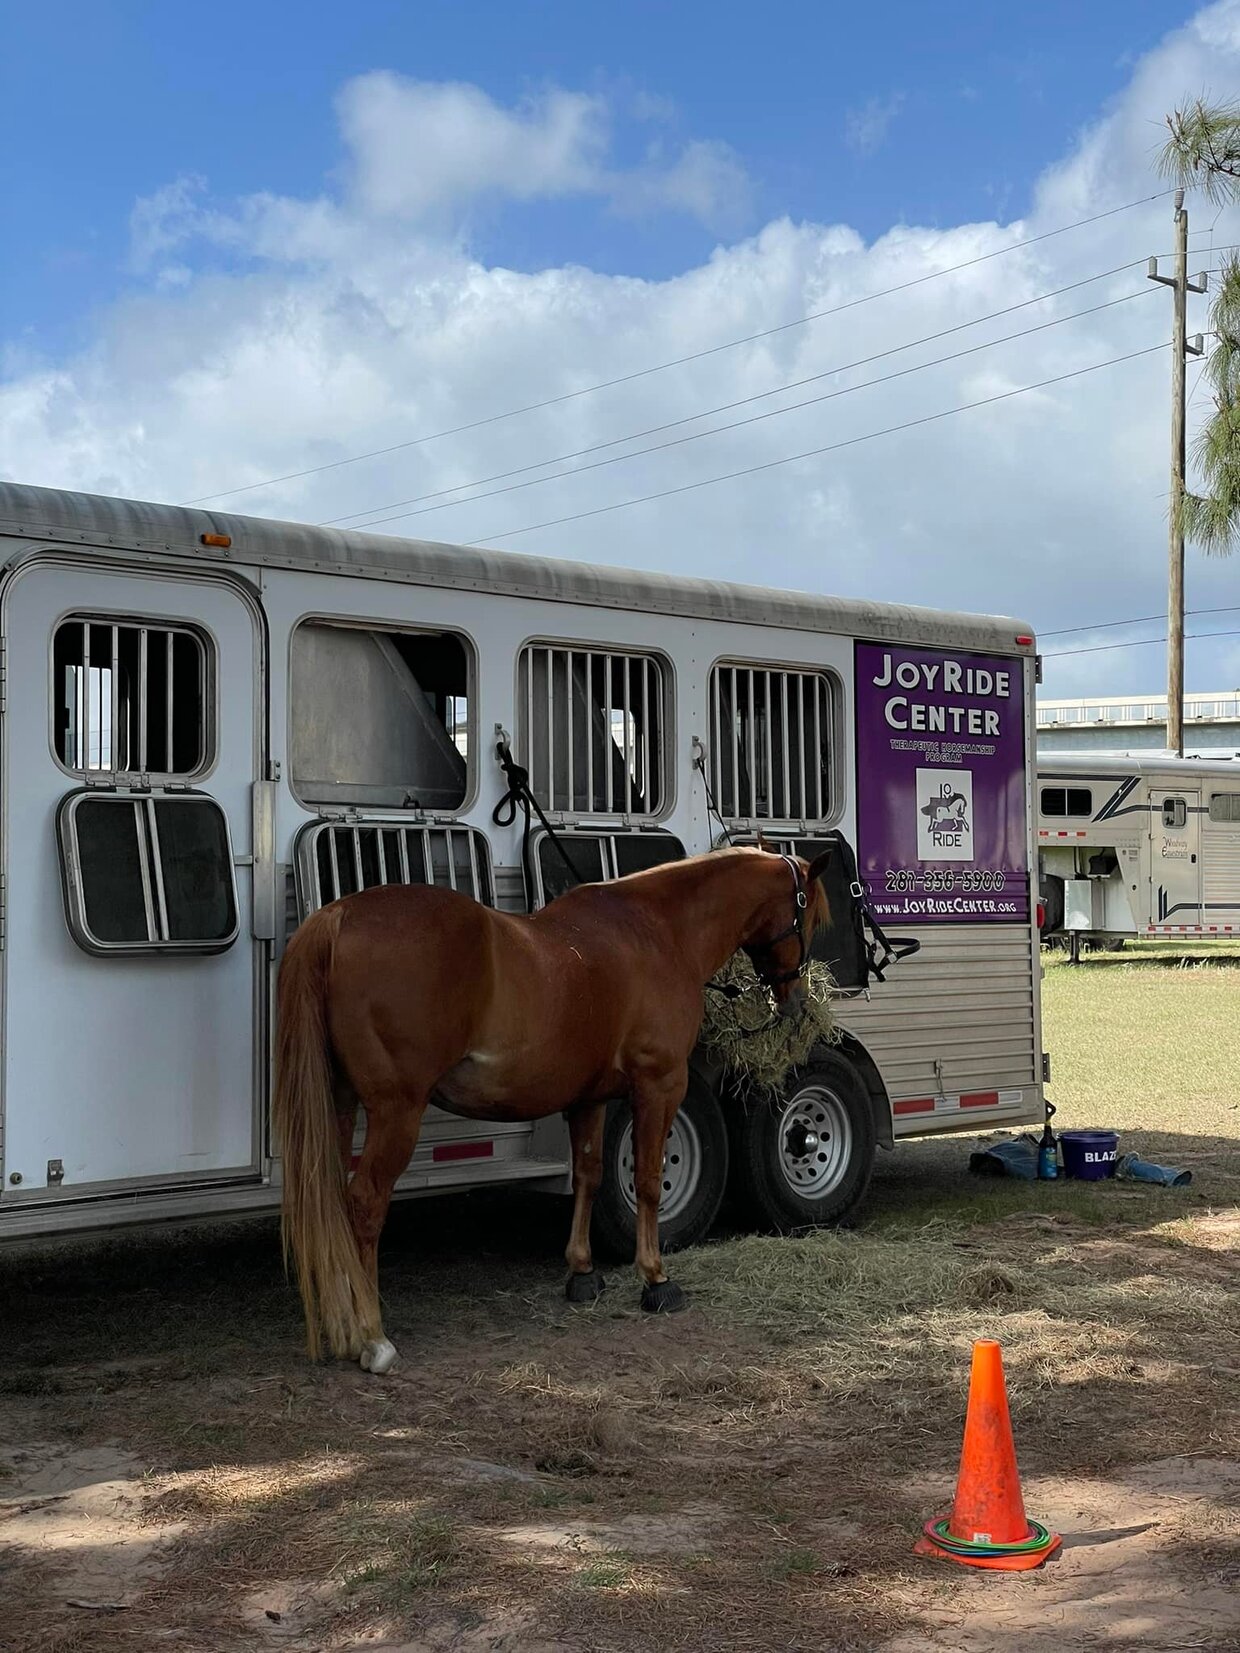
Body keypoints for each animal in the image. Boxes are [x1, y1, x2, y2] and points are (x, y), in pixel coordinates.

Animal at [276, 839, 829, 1368]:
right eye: (812, 917)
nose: (797, 1000)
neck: (657, 932)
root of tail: (338, 917)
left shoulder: (590, 1099)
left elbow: (588, 1174)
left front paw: (582, 1272)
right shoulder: (660, 1085)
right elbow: (649, 1180)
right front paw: (655, 1278)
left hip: (341, 1104)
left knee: (333, 1200)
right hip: (397, 1112)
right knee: (365, 1203)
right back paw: (372, 1335)